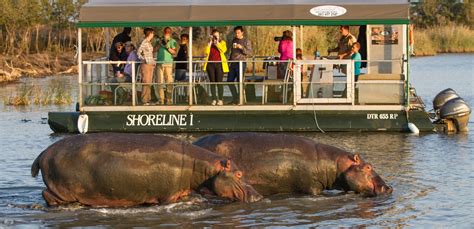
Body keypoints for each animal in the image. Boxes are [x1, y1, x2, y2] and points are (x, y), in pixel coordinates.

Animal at [31, 133, 262, 207]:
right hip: (62, 189)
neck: (201, 166)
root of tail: (43, 153)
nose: (259, 195)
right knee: (48, 195)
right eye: (239, 174)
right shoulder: (168, 196)